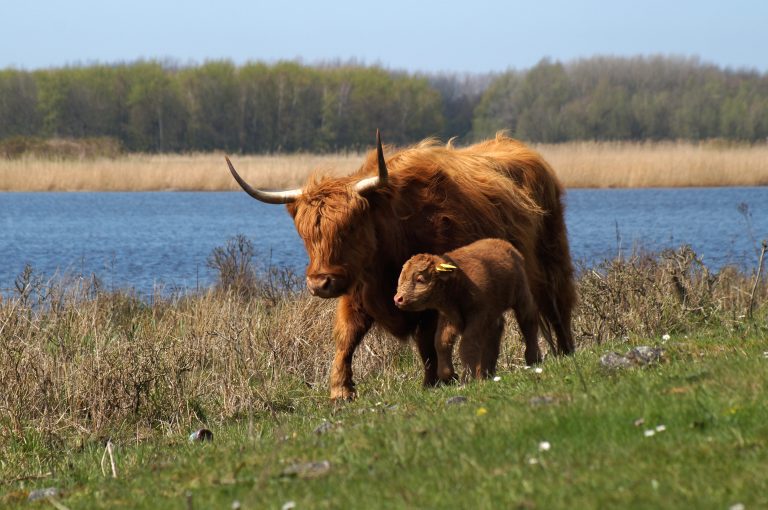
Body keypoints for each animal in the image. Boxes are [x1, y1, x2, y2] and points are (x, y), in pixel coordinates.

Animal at [396, 237, 540, 380]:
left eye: (420, 279)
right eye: (401, 278)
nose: (398, 299)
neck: (458, 282)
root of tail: (505, 244)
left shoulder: (478, 316)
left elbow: (466, 345)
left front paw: (468, 378)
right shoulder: (448, 318)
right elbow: (441, 342)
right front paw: (448, 375)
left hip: (521, 296)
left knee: (527, 320)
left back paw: (533, 360)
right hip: (494, 314)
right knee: (494, 334)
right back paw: (487, 373)